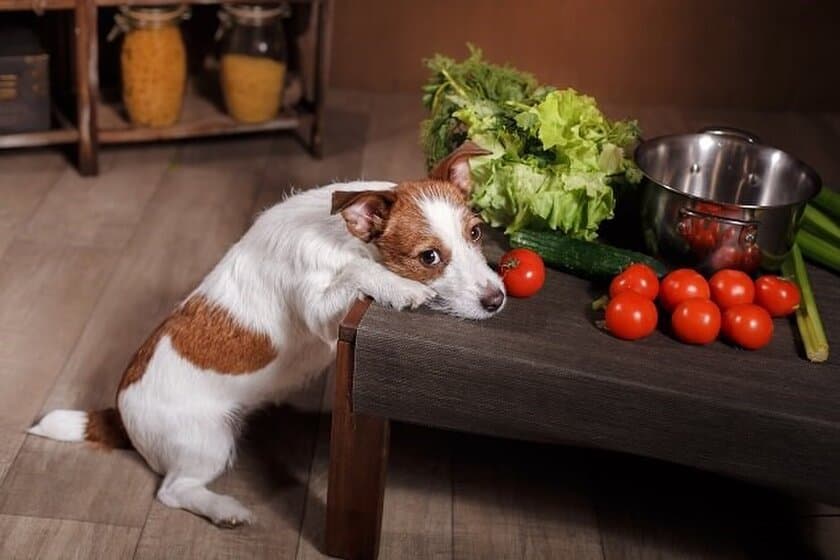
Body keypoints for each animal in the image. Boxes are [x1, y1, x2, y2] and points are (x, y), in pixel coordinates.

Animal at [27, 142, 506, 528]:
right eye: (429, 258)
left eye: (476, 233)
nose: (497, 299)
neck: (343, 237)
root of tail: (119, 413)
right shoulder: (321, 315)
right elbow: (355, 272)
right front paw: (400, 288)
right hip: (207, 441)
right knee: (172, 490)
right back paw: (224, 510)